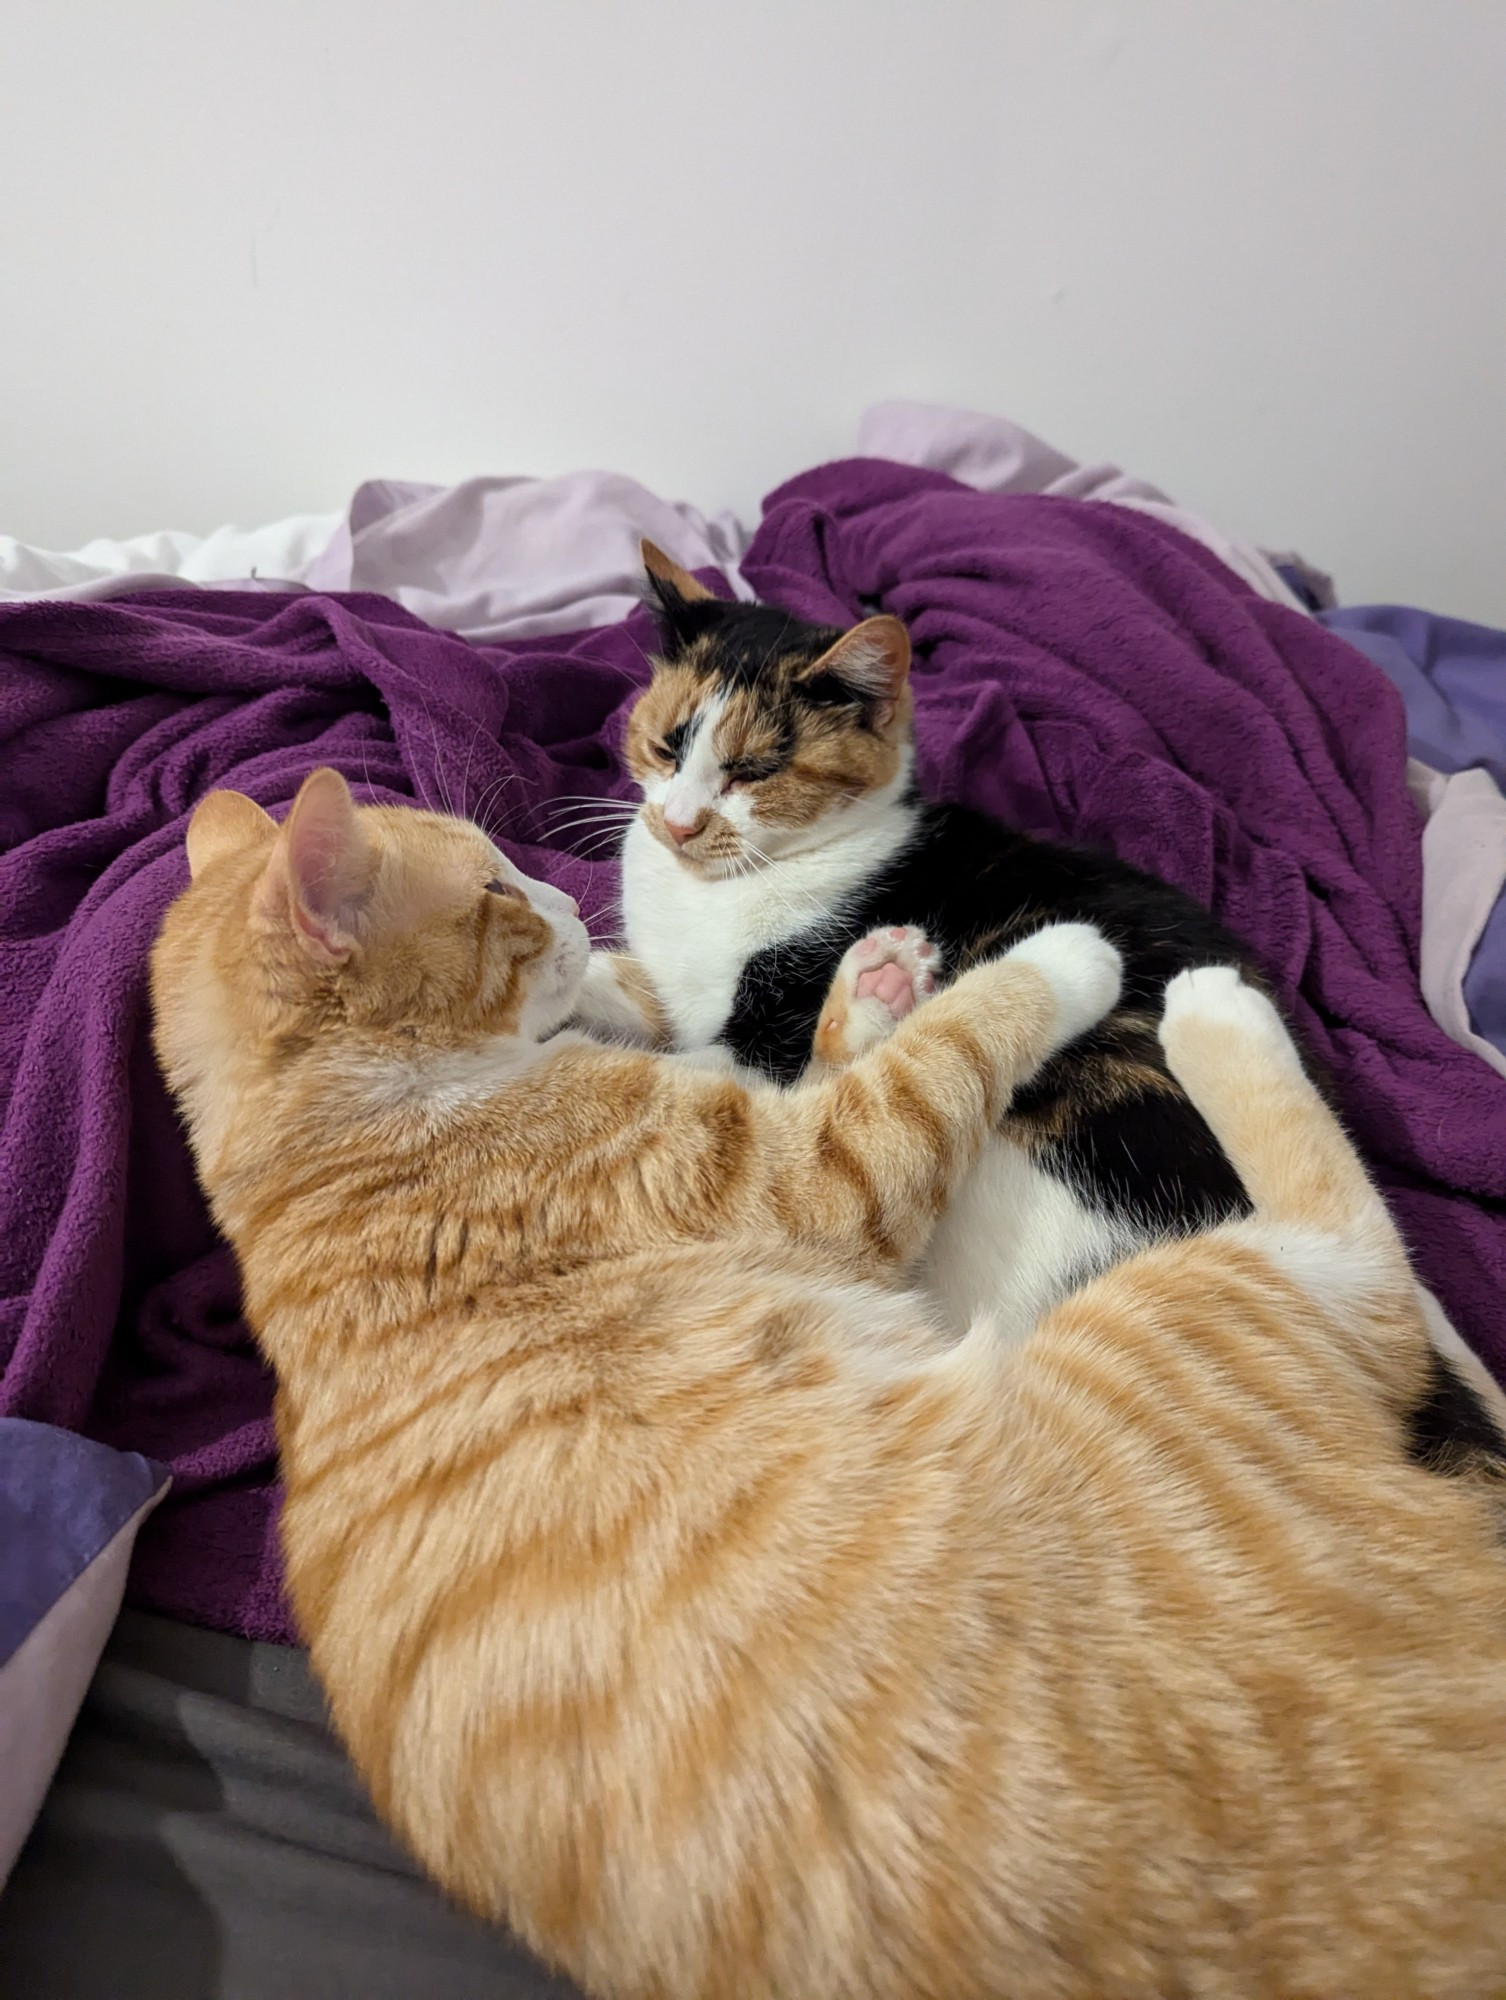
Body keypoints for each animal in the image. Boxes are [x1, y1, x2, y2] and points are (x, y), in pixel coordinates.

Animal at [153, 764, 1506, 2000]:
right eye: (493, 892)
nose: (562, 896)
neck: (325, 1139)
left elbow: (838, 1057)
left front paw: (875, 983)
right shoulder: (820, 1173)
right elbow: (944, 1055)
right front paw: (1047, 963)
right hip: (1190, 1308)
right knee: (1365, 1251)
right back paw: (1212, 1010)